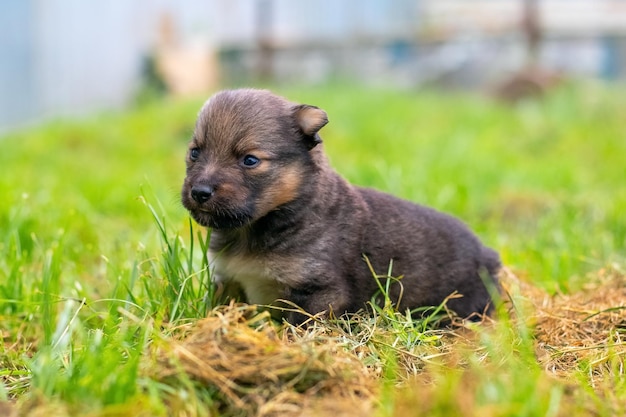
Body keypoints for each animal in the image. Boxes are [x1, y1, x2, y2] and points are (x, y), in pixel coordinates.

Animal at [179, 88, 498, 324]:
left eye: (249, 160)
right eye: (195, 152)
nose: (200, 192)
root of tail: (487, 252)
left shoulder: (319, 292)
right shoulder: (228, 282)